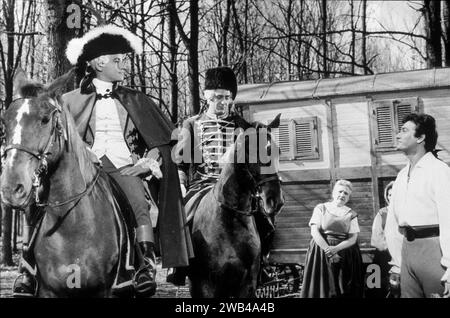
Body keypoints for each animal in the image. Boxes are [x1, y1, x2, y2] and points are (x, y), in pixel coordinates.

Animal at [0, 71, 130, 296]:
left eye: (45, 119)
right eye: (5, 121)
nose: (11, 188)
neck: (73, 225)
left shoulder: (103, 289)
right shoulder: (48, 290)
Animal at [190, 116, 284, 298]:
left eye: (278, 151)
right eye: (250, 150)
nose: (275, 200)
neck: (230, 221)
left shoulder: (247, 285)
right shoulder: (206, 286)